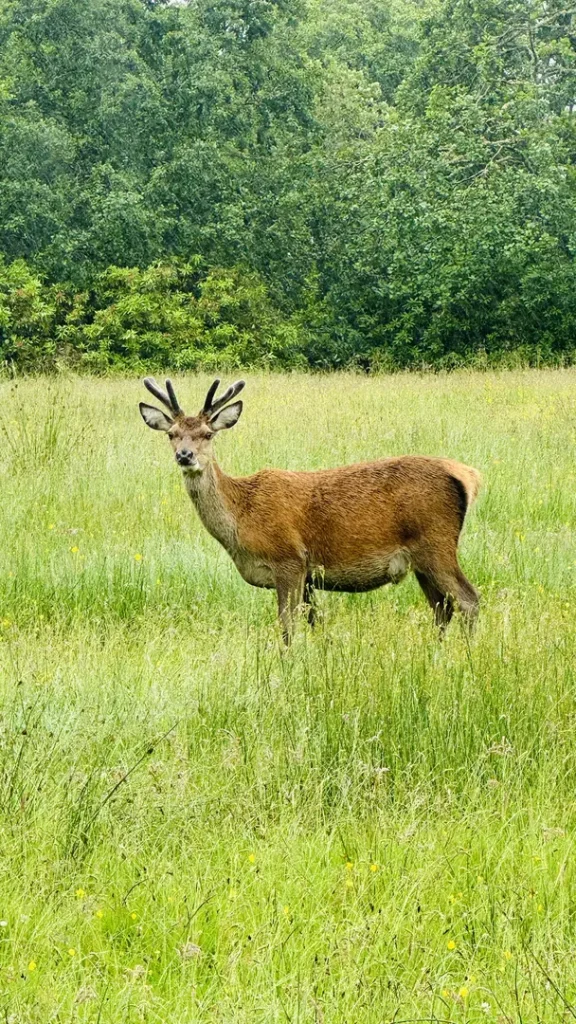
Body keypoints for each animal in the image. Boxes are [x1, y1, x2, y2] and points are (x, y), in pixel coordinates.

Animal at [139, 377, 481, 643]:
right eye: (171, 434)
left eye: (208, 434)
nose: (185, 455)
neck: (241, 519)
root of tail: (467, 475)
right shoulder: (308, 577)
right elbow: (315, 623)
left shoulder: (289, 559)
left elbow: (288, 628)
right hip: (421, 559)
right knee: (442, 608)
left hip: (436, 542)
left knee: (468, 600)